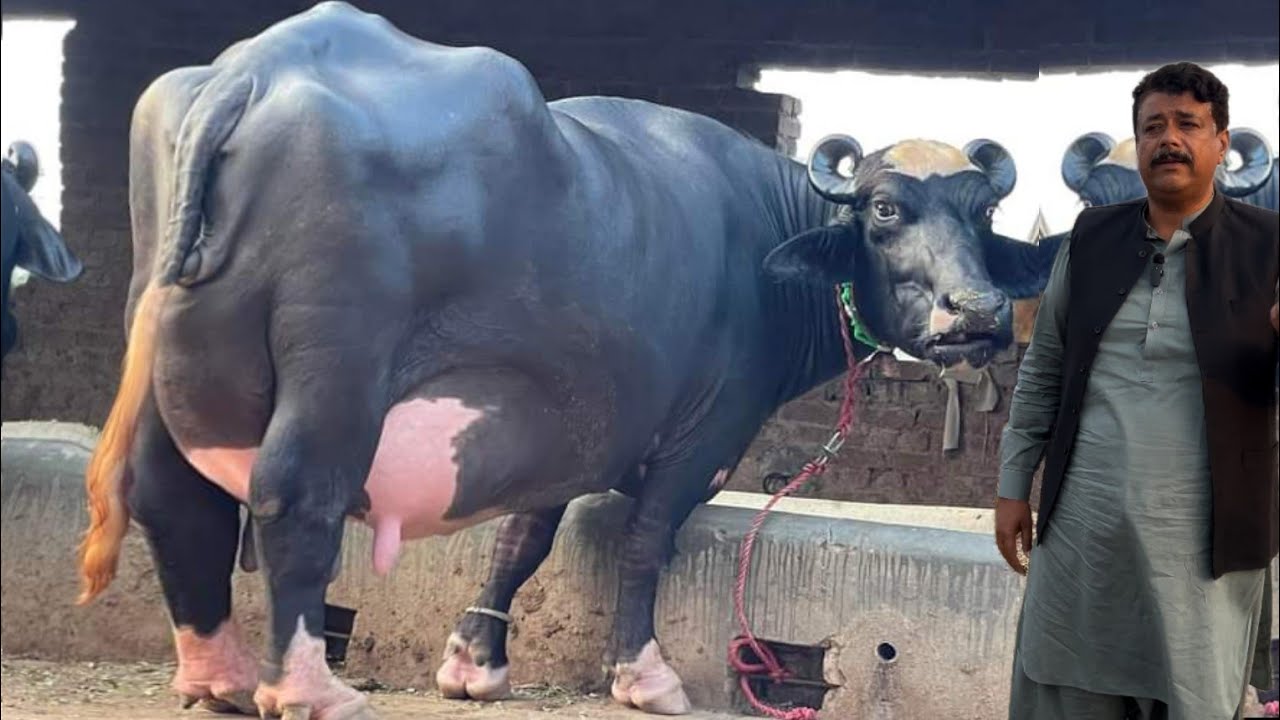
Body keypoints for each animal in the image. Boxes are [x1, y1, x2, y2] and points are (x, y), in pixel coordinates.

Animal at [73, 3, 1058, 718]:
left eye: (980, 213)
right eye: (886, 209)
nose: (977, 313)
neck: (763, 237)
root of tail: (255, 69)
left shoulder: (561, 410)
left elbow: (525, 534)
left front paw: (474, 660)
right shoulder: (706, 430)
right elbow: (645, 539)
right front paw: (645, 675)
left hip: (171, 355)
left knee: (175, 497)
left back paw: (220, 675)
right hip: (335, 372)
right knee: (294, 497)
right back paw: (311, 689)